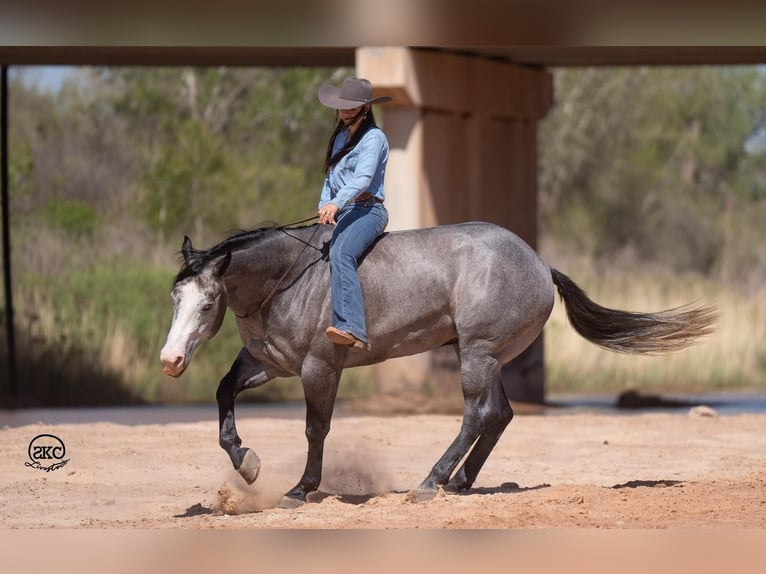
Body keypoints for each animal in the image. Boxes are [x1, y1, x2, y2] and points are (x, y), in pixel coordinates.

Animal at [159, 220, 716, 508]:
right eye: (175, 298)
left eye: (207, 304)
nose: (170, 360)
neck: (289, 280)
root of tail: (539, 264)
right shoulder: (269, 362)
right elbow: (224, 391)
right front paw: (246, 462)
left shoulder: (320, 368)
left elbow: (316, 428)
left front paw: (300, 488)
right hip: (484, 358)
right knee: (498, 415)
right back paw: (461, 481)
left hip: (478, 355)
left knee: (477, 414)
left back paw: (432, 482)